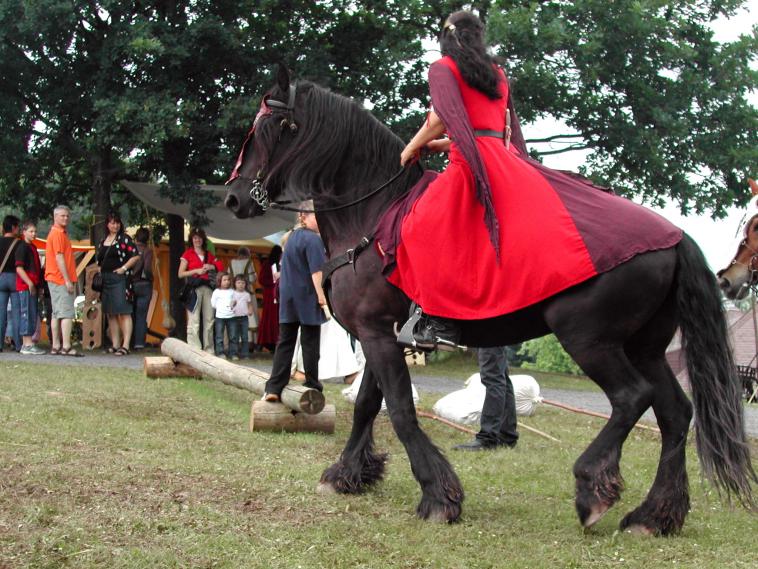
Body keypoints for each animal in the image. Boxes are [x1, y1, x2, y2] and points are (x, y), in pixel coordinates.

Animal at [224, 66, 756, 532]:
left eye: (271, 126)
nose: (232, 199)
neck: (372, 214)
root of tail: (673, 236)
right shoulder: (380, 333)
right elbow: (368, 404)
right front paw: (349, 474)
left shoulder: (376, 333)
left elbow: (400, 409)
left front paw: (438, 495)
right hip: (643, 346)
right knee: (675, 414)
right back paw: (655, 515)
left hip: (590, 340)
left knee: (632, 399)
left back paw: (592, 488)